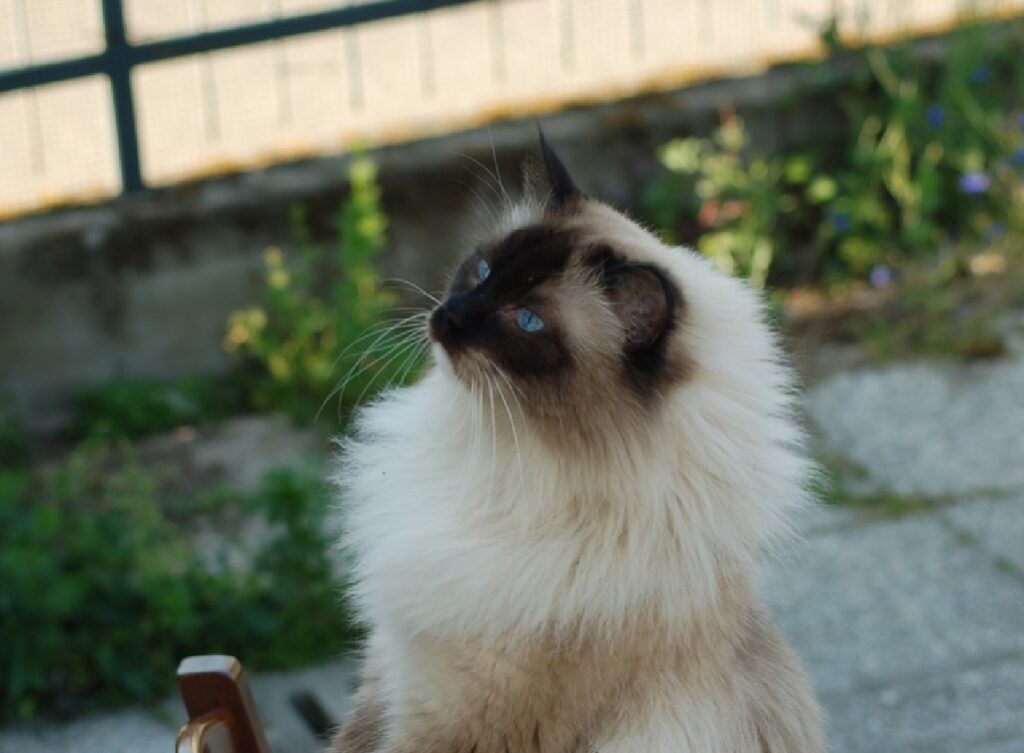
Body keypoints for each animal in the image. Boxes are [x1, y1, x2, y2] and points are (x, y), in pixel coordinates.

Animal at [331, 135, 827, 753]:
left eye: (526, 321)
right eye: (484, 269)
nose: (446, 318)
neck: (489, 457)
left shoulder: (450, 725)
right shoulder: (384, 677)